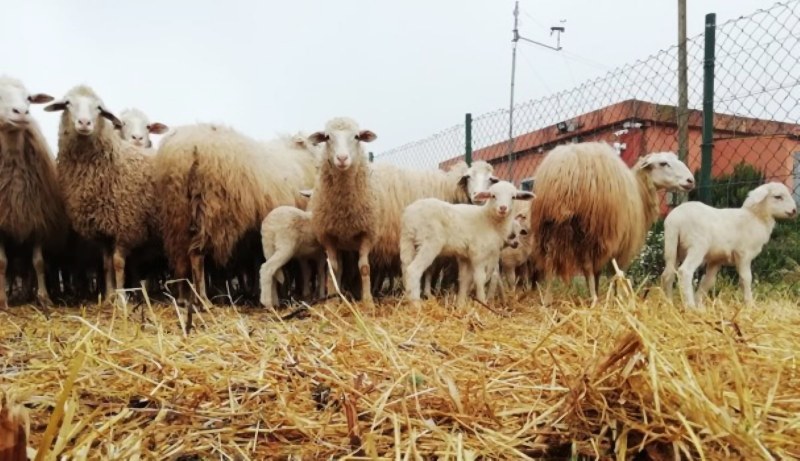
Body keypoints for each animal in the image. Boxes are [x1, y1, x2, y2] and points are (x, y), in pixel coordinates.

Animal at [44, 84, 161, 300]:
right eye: (67, 103)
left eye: (99, 108)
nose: (84, 122)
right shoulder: (103, 229)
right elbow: (106, 265)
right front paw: (108, 296)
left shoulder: (125, 224)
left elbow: (118, 263)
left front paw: (122, 298)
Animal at [400, 180, 536, 306]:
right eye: (493, 195)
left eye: (513, 197)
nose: (503, 208)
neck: (489, 220)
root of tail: (410, 214)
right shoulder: (478, 253)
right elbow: (480, 278)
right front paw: (482, 302)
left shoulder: (465, 256)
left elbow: (465, 279)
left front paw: (460, 304)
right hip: (430, 242)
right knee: (413, 270)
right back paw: (416, 304)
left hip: (407, 240)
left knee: (406, 268)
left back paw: (408, 298)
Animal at [524, 142, 692, 304]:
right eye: (663, 163)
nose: (691, 180)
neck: (640, 191)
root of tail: (566, 171)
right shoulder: (621, 245)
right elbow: (615, 272)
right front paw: (616, 297)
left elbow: (599, 272)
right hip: (590, 225)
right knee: (586, 265)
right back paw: (593, 299)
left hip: (551, 226)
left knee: (550, 262)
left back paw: (547, 300)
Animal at [660, 181, 796, 310]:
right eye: (778, 196)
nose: (794, 211)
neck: (756, 218)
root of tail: (676, 219)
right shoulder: (743, 254)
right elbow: (746, 279)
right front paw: (750, 305)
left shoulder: (716, 260)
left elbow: (708, 281)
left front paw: (700, 303)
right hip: (697, 246)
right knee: (685, 271)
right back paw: (690, 307)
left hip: (672, 247)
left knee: (667, 274)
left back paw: (669, 304)